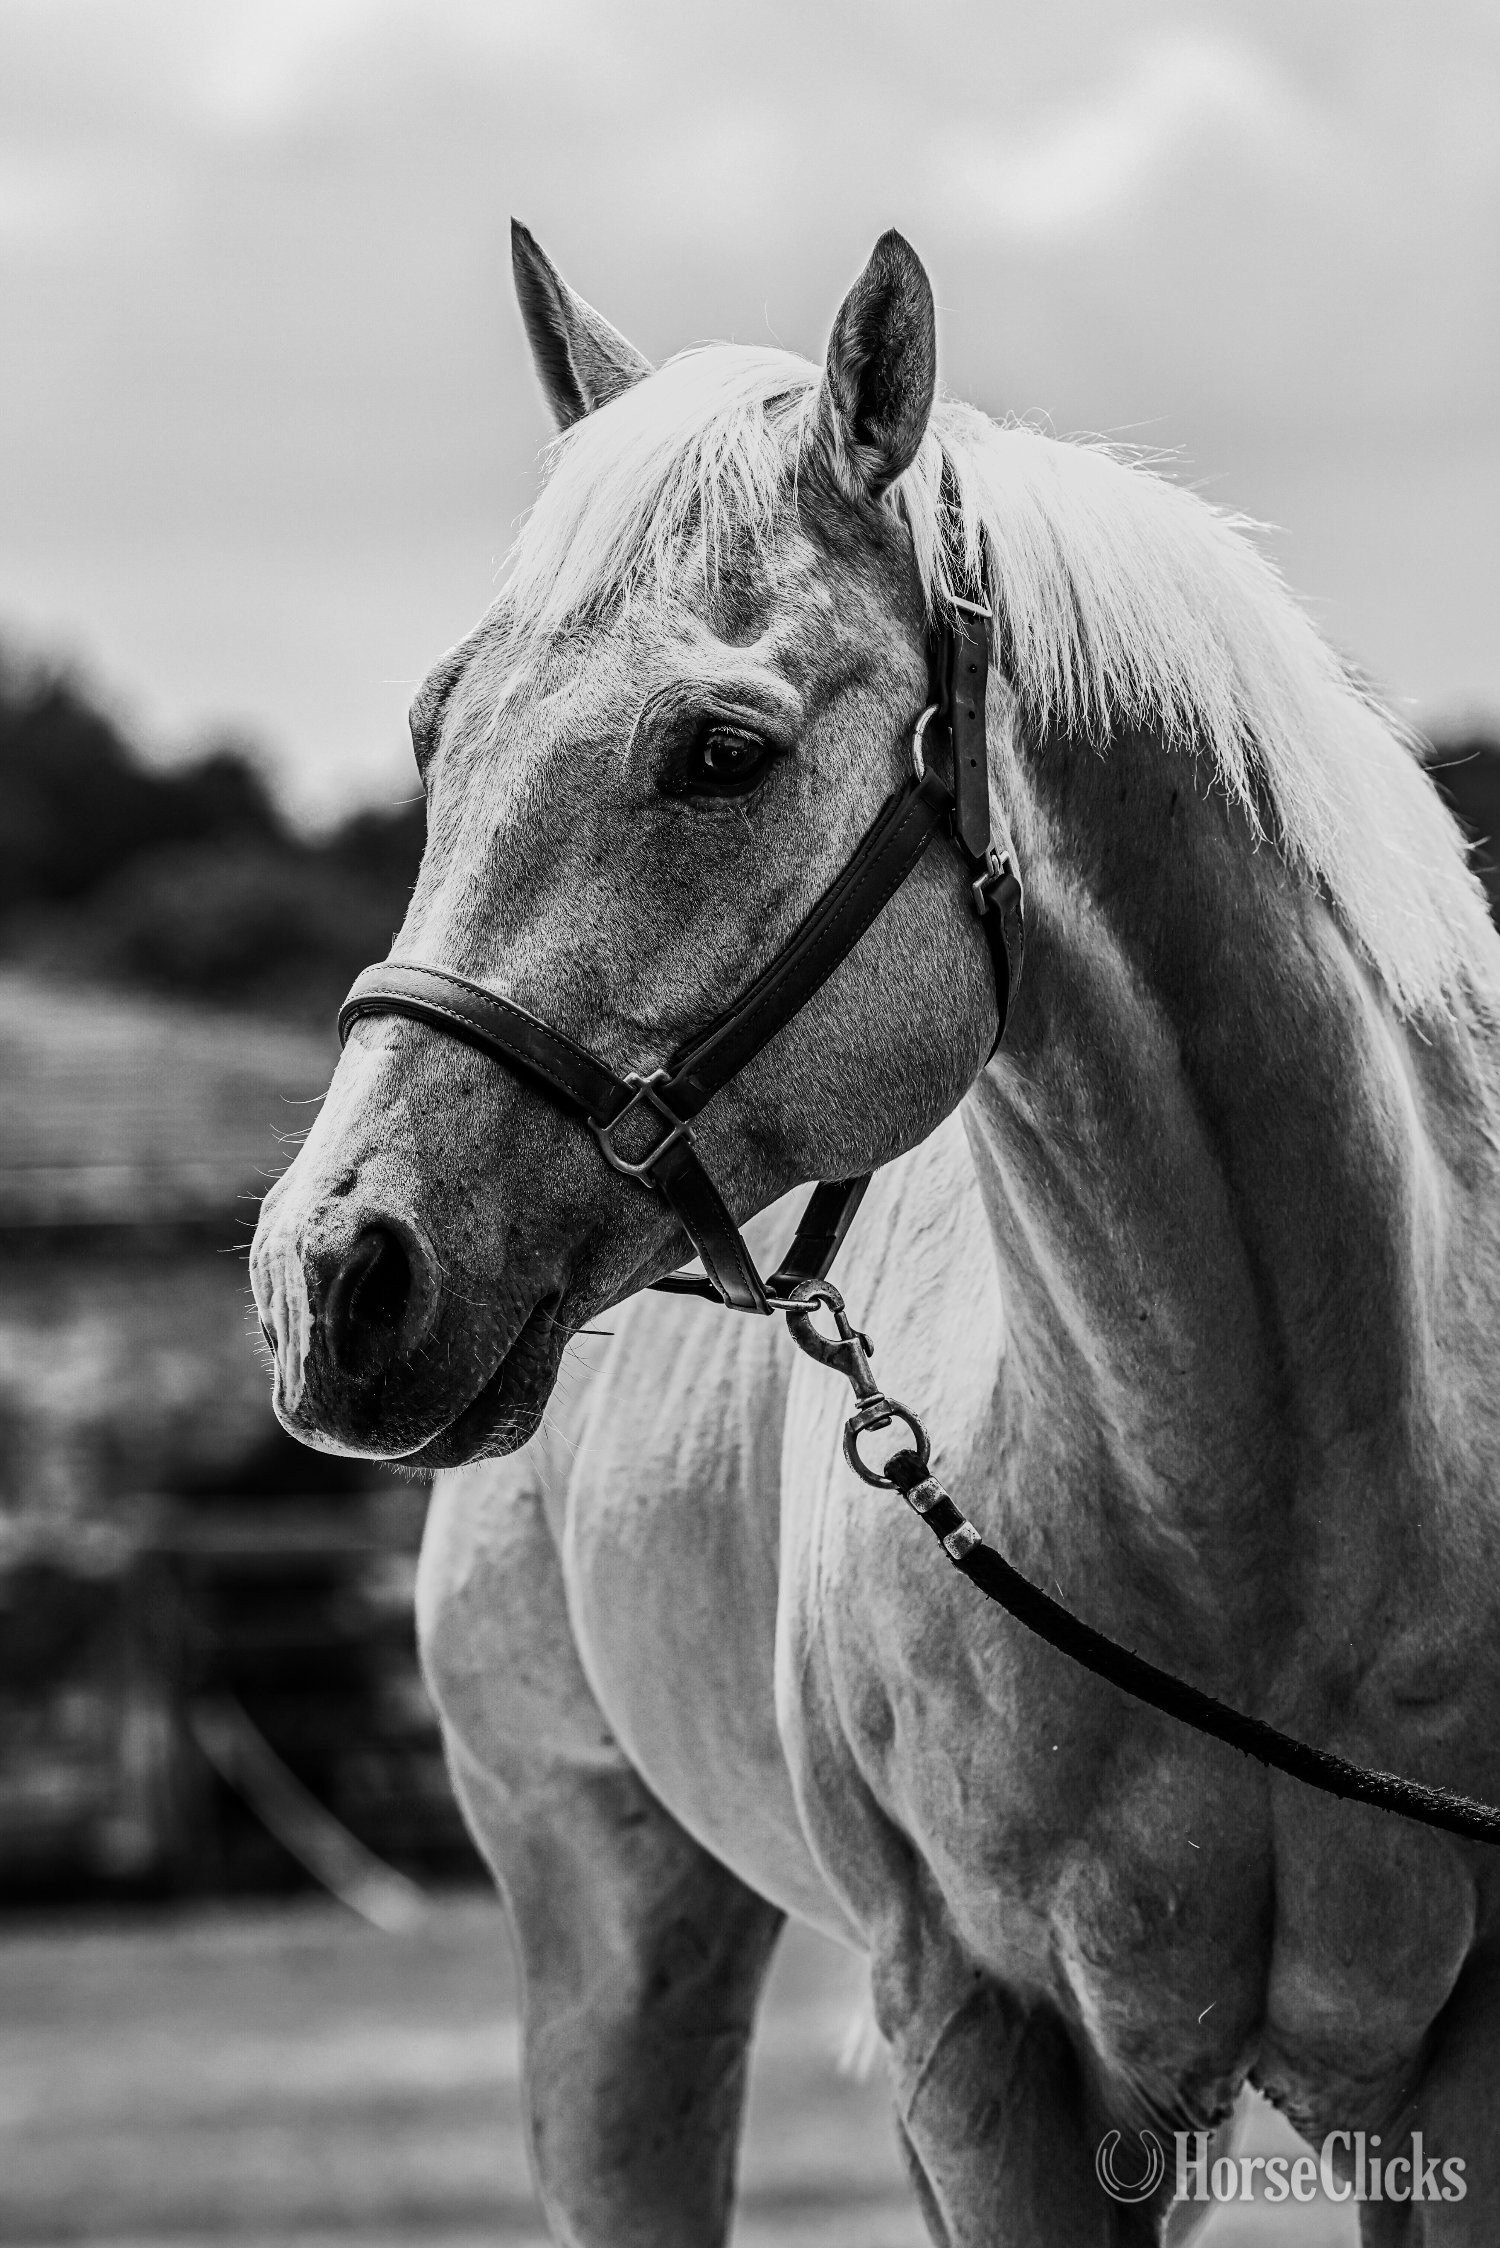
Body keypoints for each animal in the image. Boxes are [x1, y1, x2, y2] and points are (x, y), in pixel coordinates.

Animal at [250, 223, 1500, 2244]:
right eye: (438, 727)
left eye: (719, 752)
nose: (331, 1275)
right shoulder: (984, 2044)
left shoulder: (1456, 2060)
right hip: (616, 1956)